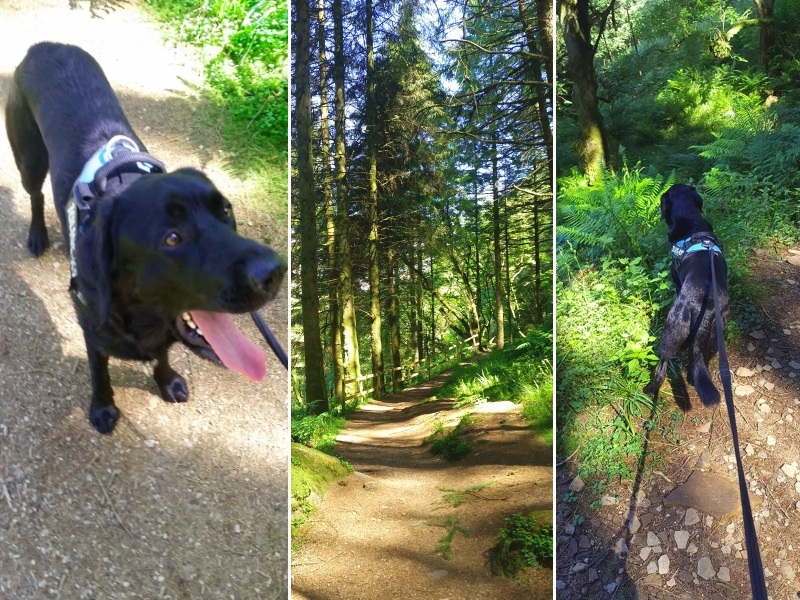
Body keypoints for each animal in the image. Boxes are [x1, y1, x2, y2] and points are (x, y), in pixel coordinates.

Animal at [5, 43, 288, 436]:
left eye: (225, 211)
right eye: (172, 238)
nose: (275, 271)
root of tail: (45, 45)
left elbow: (163, 354)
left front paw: (166, 381)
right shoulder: (91, 327)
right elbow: (99, 371)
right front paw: (103, 407)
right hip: (28, 158)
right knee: (34, 194)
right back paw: (37, 236)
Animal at [648, 184, 728, 408]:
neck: (692, 223)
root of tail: (706, 308)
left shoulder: (676, 278)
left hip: (672, 331)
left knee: (662, 367)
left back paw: (650, 389)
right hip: (716, 339)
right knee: (699, 363)